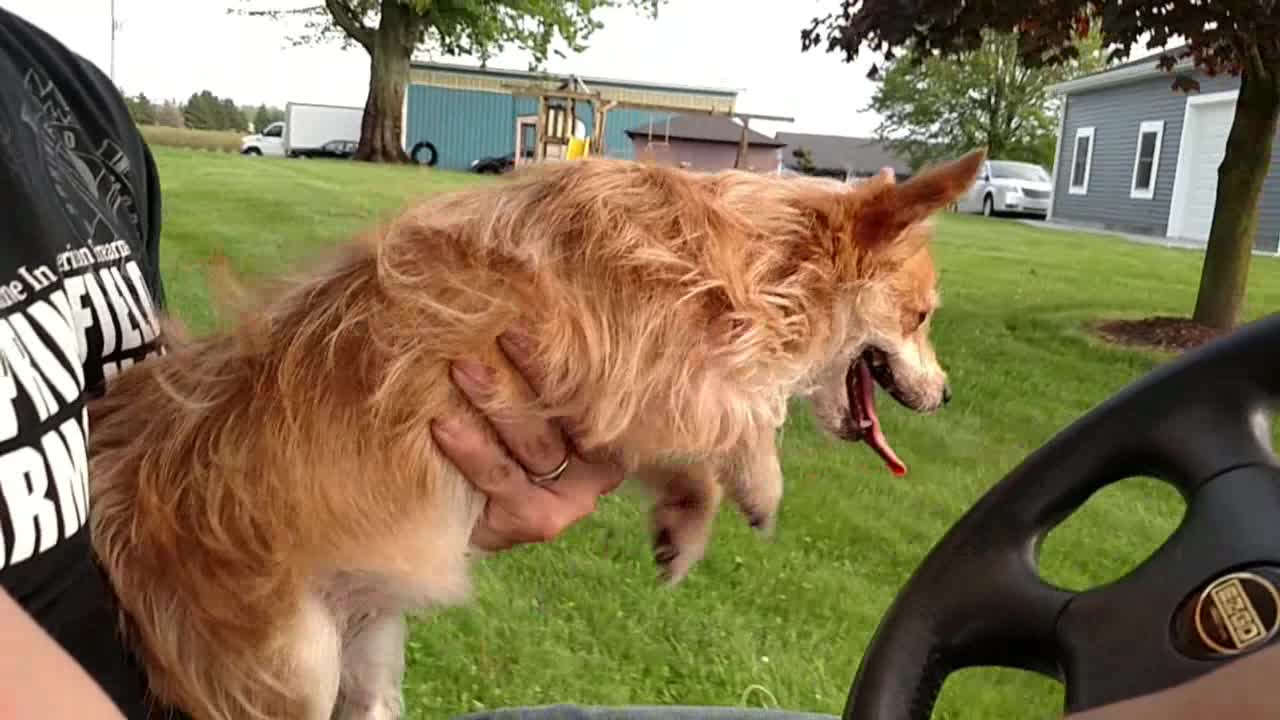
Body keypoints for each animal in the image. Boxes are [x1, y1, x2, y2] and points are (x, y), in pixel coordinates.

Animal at [85, 148, 977, 712]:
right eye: (922, 316)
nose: (947, 392)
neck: (754, 265)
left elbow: (691, 449)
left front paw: (685, 522)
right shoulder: (627, 370)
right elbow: (731, 414)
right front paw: (760, 480)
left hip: (368, 655)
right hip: (292, 664)